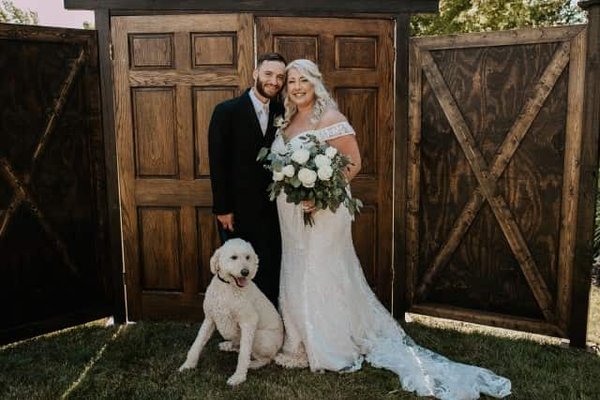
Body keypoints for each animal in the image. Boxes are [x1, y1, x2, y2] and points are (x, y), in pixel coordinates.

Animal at [178, 239, 284, 386]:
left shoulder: (248, 322)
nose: (245, 272)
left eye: (248, 257)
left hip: (259, 337)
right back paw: (229, 345)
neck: (228, 286)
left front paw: (238, 377)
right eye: (233, 257)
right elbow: (197, 343)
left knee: (265, 358)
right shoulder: (210, 319)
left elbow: (244, 354)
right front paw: (188, 365)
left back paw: (253, 364)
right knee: (240, 346)